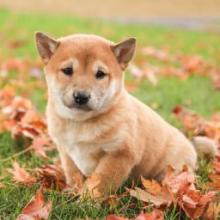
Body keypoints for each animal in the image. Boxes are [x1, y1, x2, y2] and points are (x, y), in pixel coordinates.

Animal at [34, 32, 217, 198]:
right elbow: (73, 176)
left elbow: (100, 182)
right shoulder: (67, 152)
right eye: (67, 70)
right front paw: (72, 192)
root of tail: (190, 144)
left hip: (171, 170)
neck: (80, 123)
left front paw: (86, 202)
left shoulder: (120, 154)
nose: (81, 96)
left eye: (100, 74)